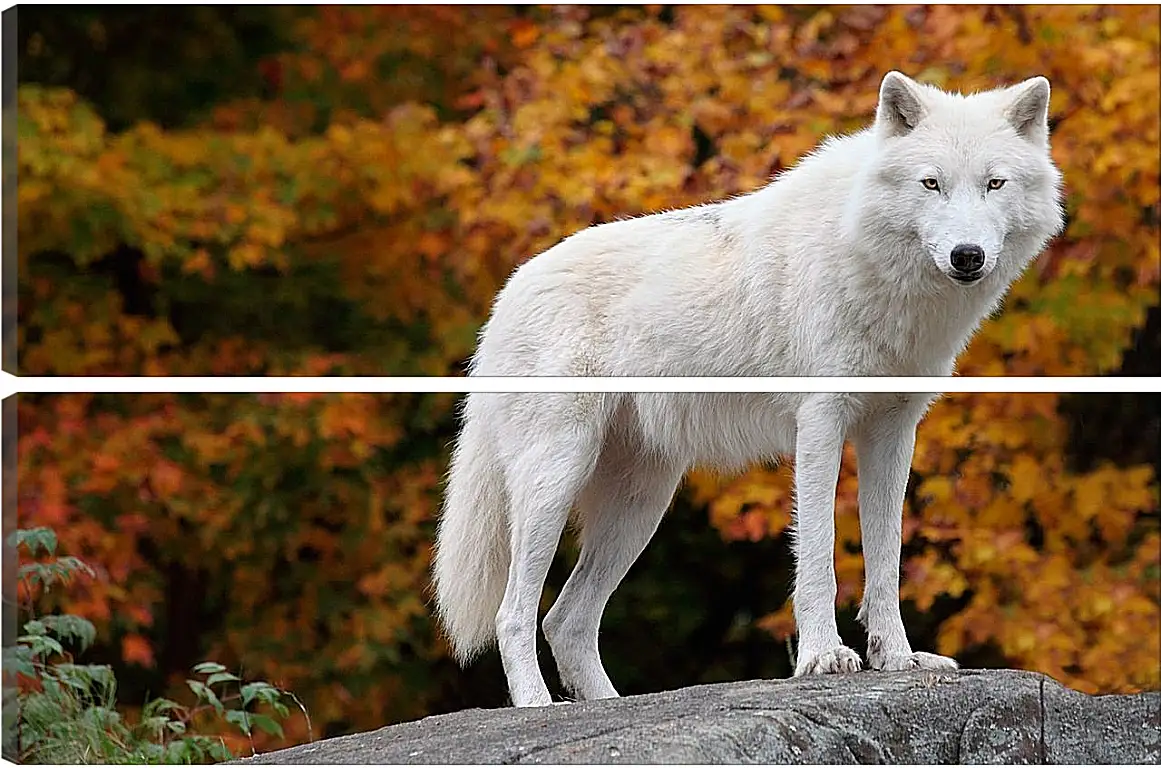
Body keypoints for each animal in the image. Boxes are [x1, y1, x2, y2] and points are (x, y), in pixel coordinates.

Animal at [434, 72, 1063, 706]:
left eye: (994, 183)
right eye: (931, 183)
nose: (967, 256)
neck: (872, 264)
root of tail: (506, 295)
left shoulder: (893, 430)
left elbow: (886, 561)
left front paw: (898, 660)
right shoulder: (821, 421)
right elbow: (818, 554)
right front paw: (822, 657)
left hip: (640, 505)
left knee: (565, 619)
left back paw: (605, 703)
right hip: (556, 479)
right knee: (514, 614)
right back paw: (536, 708)